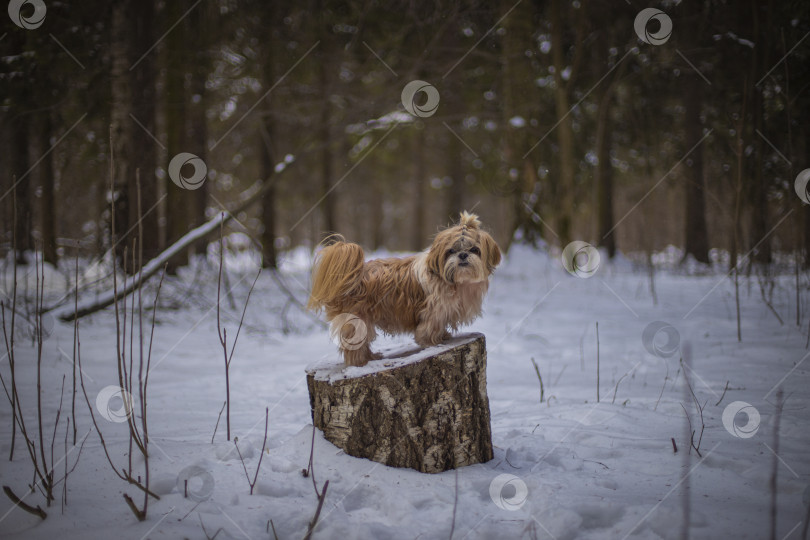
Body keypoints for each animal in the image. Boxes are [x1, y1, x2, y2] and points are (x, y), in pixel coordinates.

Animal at [310, 211, 498, 368]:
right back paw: (361, 362)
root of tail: (351, 275)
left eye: (474, 249)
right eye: (451, 250)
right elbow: (429, 328)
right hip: (358, 320)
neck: (458, 281)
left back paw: (371, 357)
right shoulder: (435, 310)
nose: (463, 255)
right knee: (354, 348)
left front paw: (443, 336)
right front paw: (432, 342)